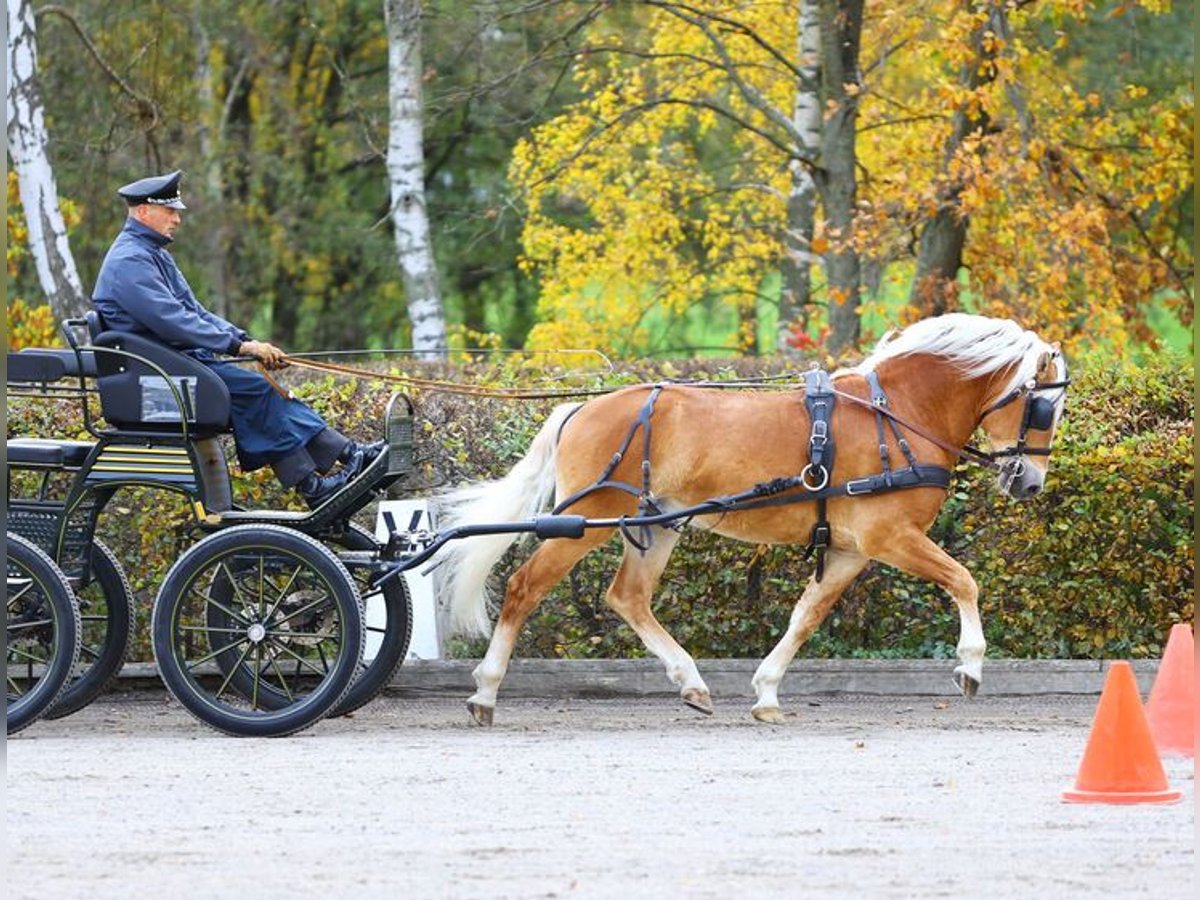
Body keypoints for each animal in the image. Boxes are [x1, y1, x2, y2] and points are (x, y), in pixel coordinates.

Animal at [432, 314, 1070, 724]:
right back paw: (485, 693)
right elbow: (965, 580)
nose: (1031, 483)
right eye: (1043, 405)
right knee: (523, 587)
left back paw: (691, 683)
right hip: (584, 523)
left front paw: (765, 693)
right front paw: (970, 665)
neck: (897, 416)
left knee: (628, 597)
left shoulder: (850, 548)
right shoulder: (889, 536)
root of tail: (582, 407)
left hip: (654, 526)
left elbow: (805, 618)